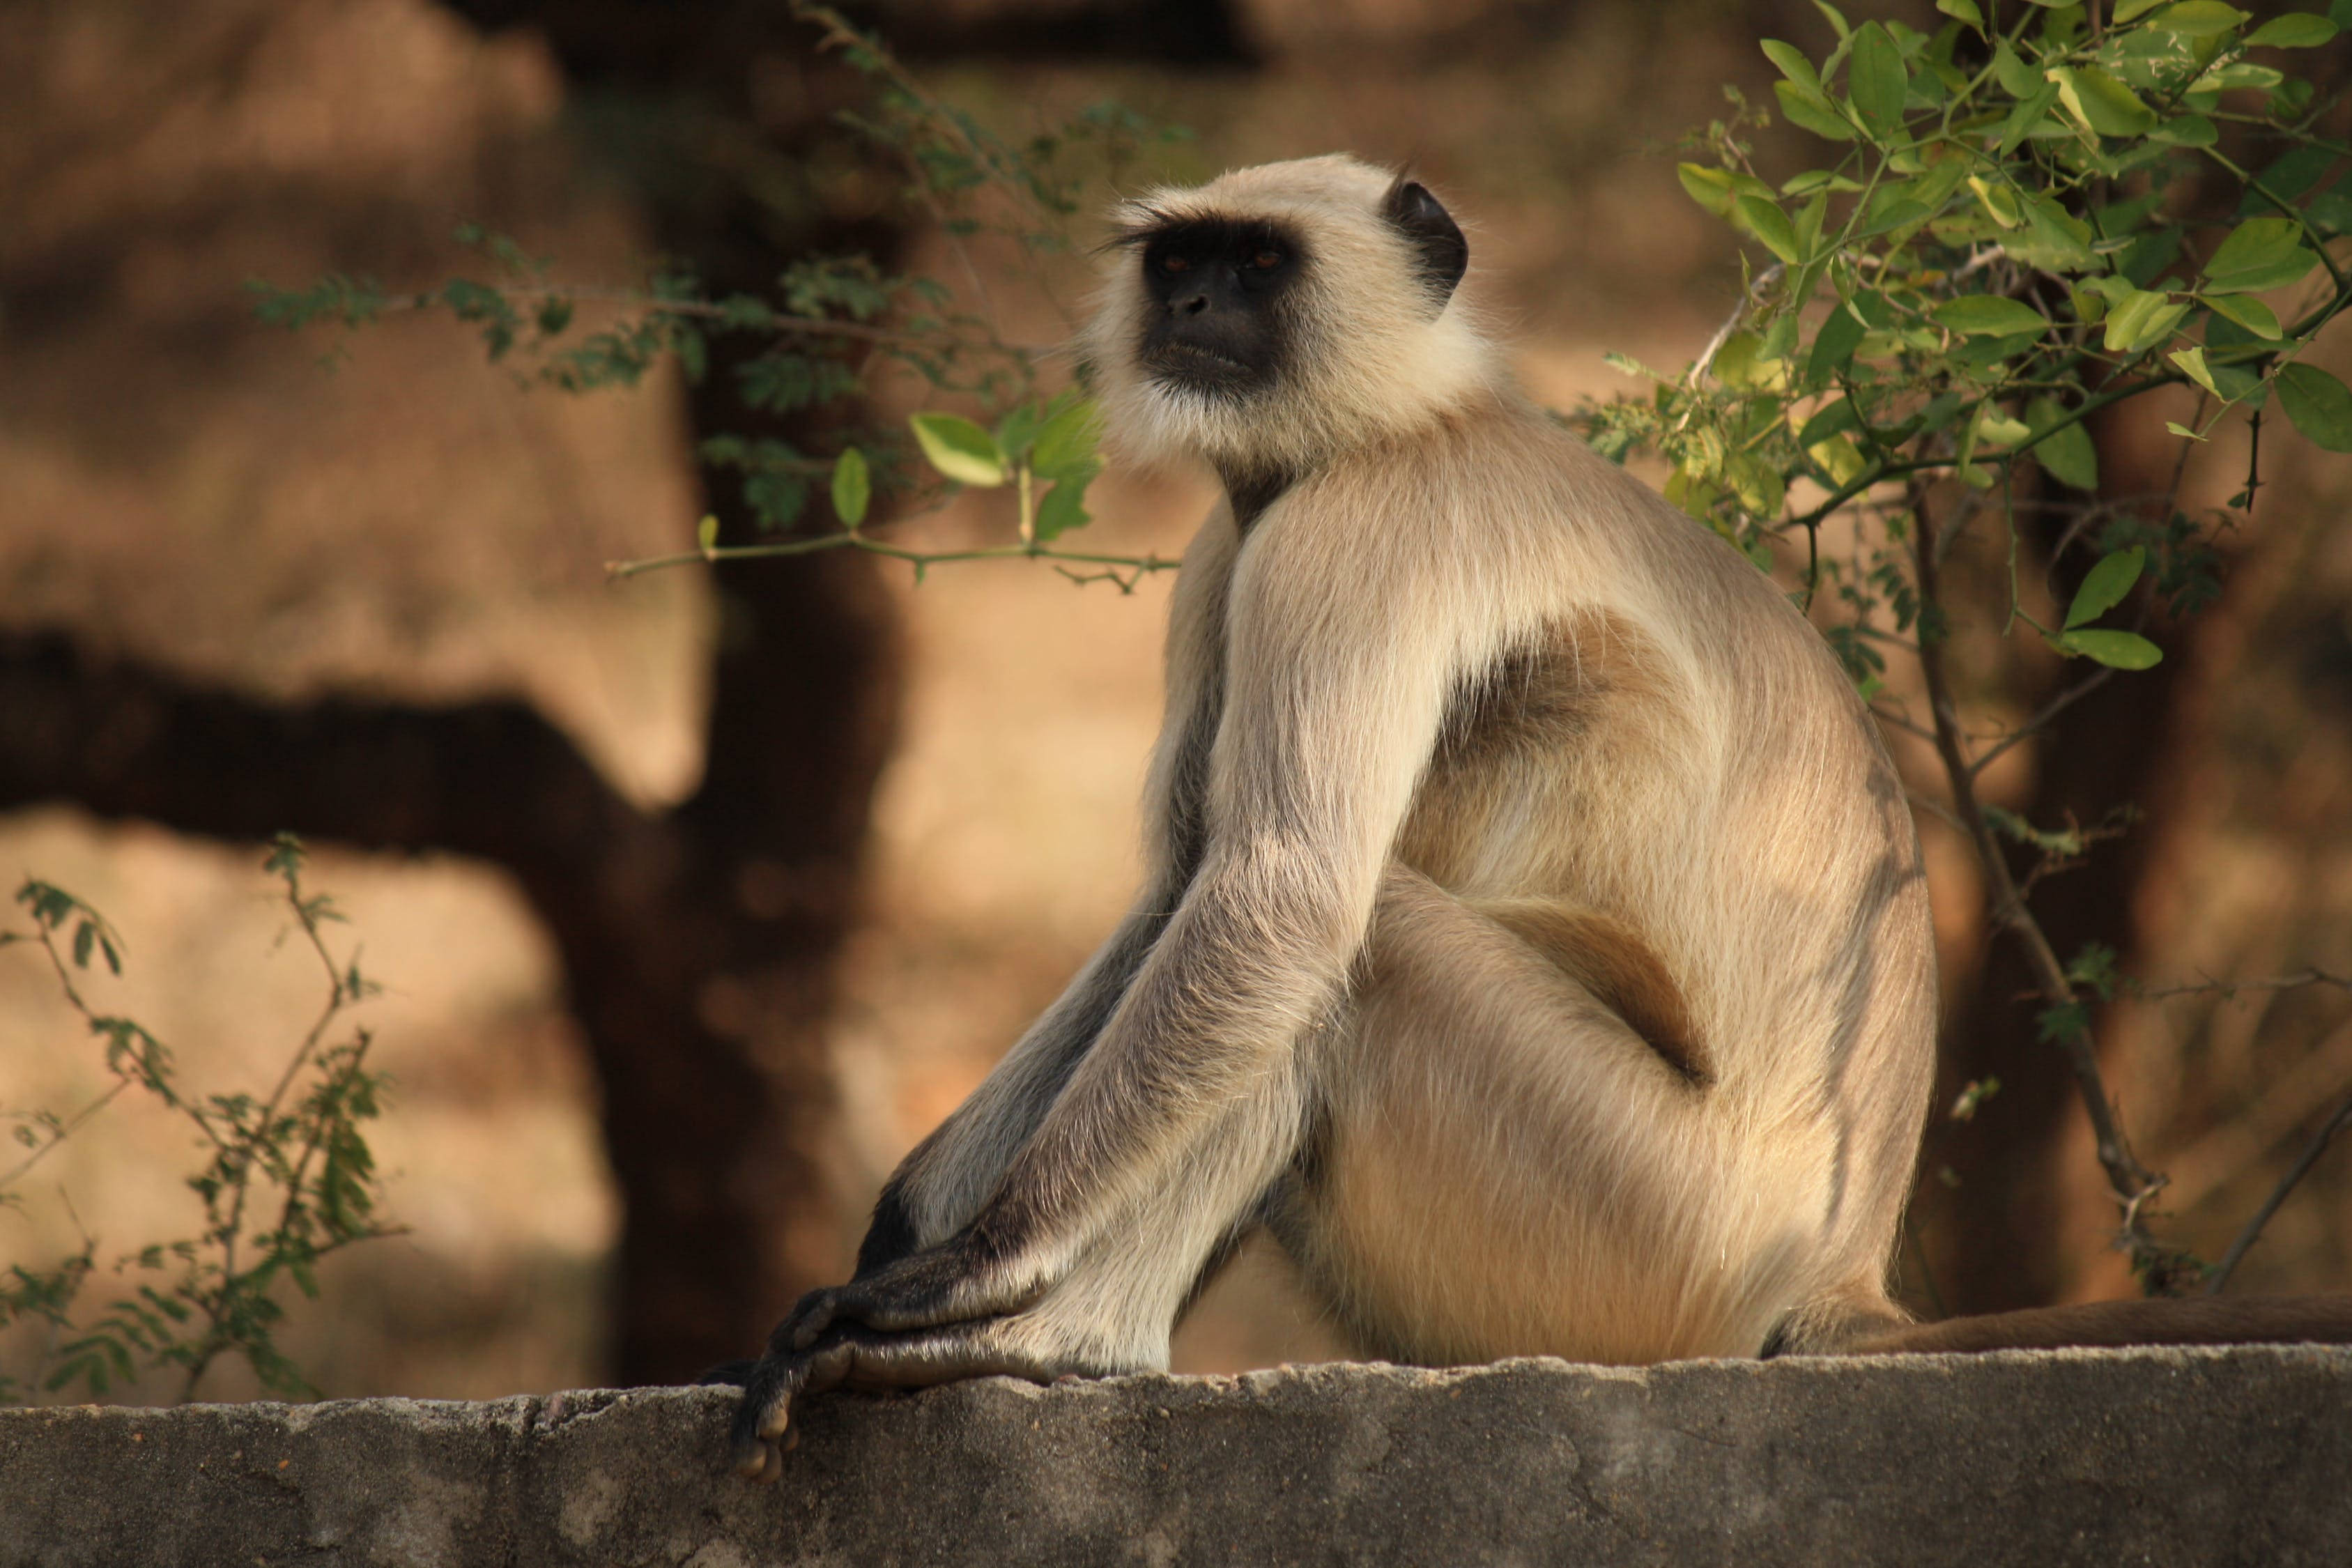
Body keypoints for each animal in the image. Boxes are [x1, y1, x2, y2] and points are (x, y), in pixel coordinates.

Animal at [727, 155, 2351, 1478]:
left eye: (1257, 265)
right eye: (1177, 257)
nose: (1183, 297)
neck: (1413, 420)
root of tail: (1836, 1277)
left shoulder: (1355, 530)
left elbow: (1275, 894)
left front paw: (964, 1275)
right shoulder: (1234, 545)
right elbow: (1185, 879)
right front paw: (906, 1224)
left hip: (1645, 1231)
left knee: (1361, 943)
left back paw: (1049, 1345)